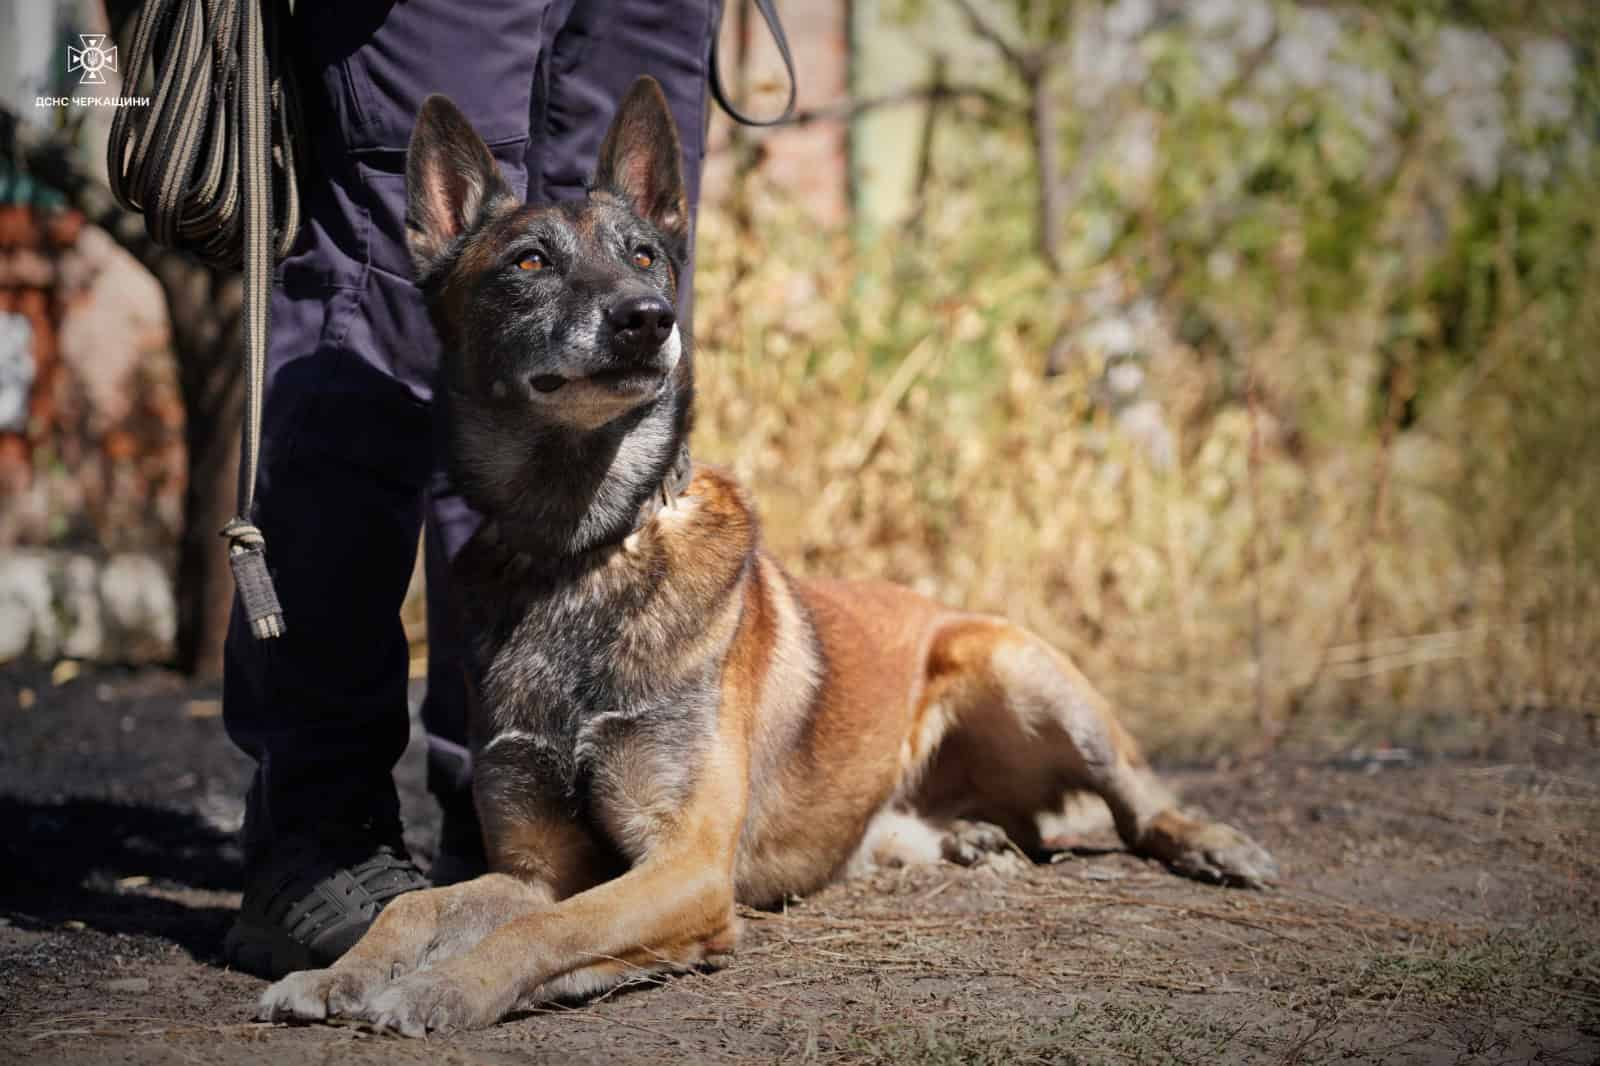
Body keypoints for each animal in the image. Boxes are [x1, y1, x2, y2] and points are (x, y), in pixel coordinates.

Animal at [259, 78, 1273, 1030]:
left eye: (644, 254)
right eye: (529, 262)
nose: (646, 318)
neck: (584, 547)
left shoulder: (686, 867)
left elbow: (545, 927)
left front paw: (449, 988)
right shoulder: (537, 865)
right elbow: (420, 910)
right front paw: (337, 974)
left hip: (1022, 667)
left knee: (1139, 794)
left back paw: (1212, 843)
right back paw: (966, 839)